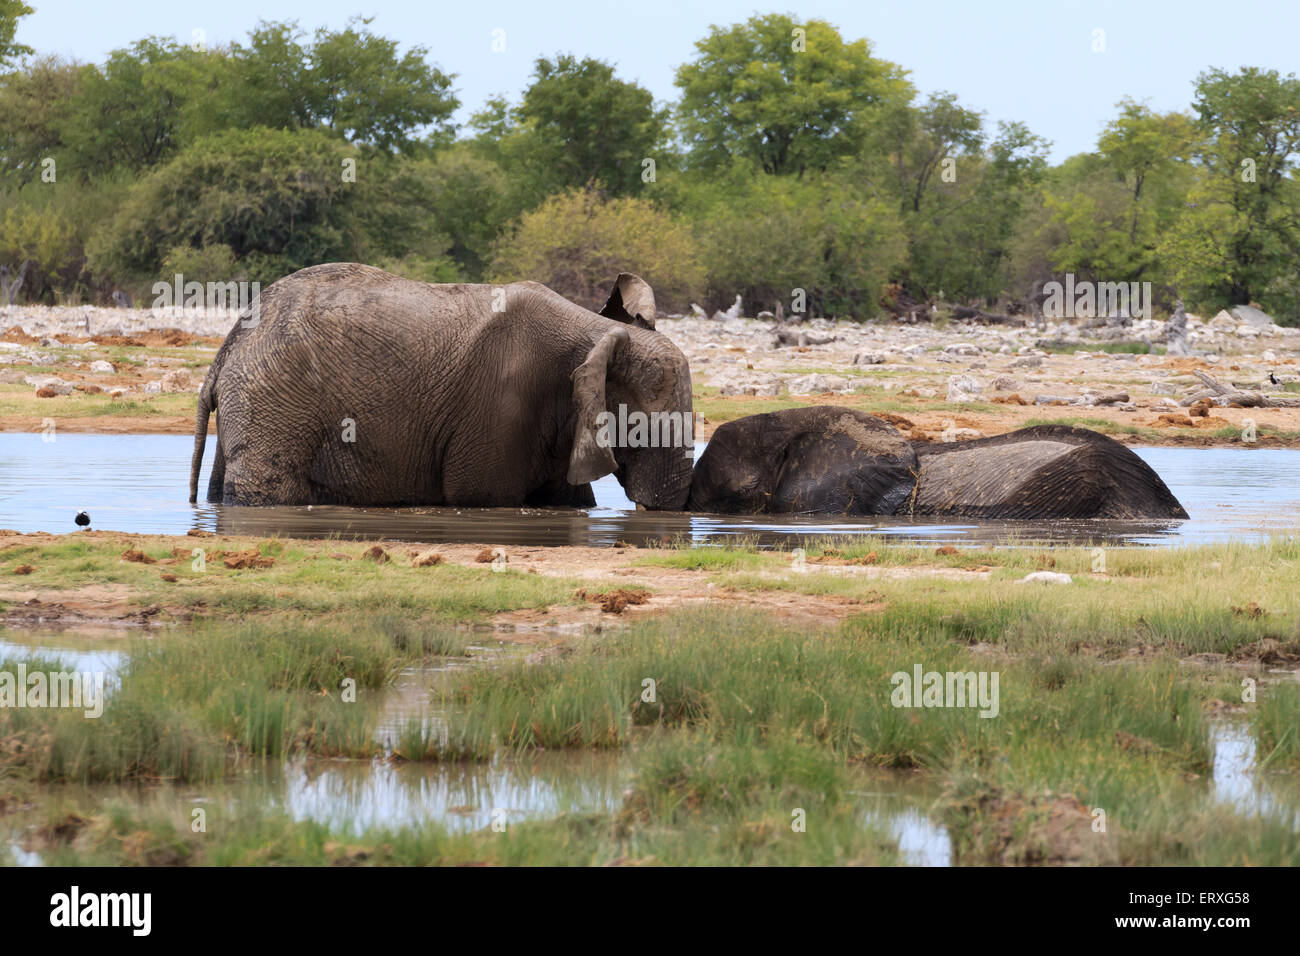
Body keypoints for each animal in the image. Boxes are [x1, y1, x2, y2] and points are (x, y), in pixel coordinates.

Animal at [189, 264, 696, 509]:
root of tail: (232, 341)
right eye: (641, 428)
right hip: (274, 399)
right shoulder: (500, 410)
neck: (594, 329)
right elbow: (485, 497)